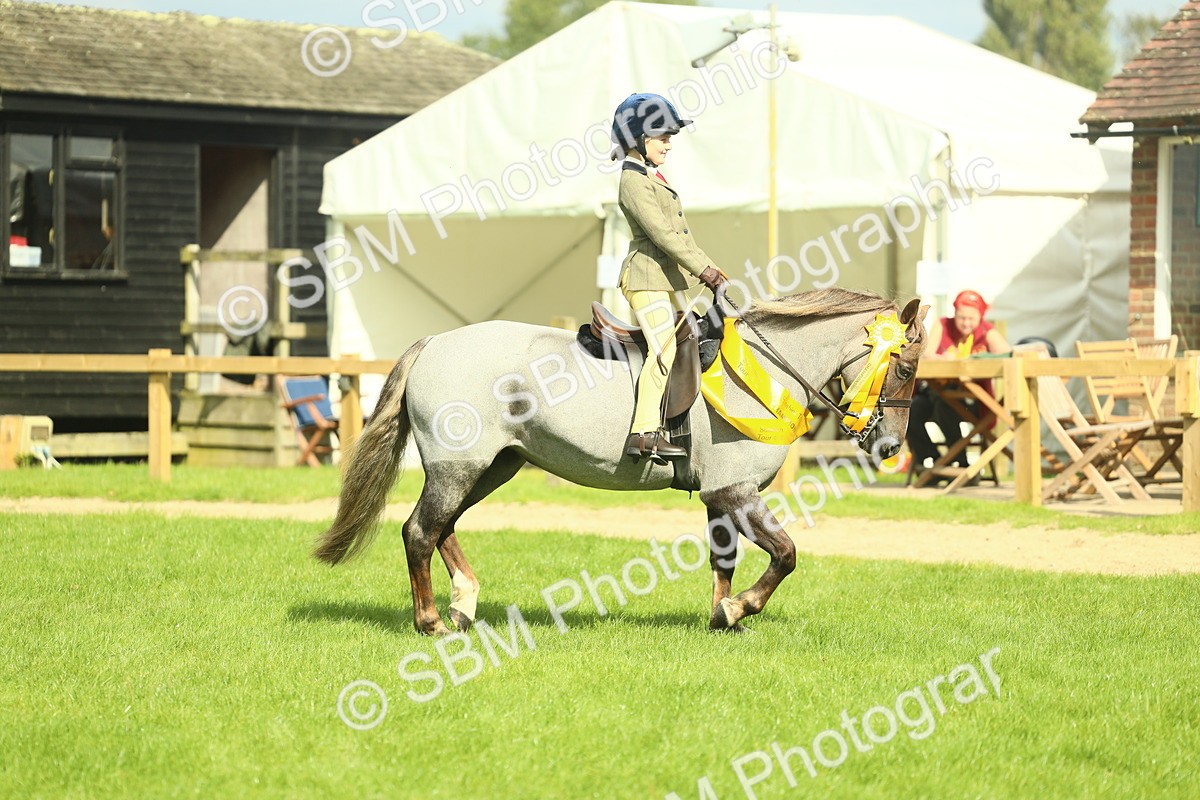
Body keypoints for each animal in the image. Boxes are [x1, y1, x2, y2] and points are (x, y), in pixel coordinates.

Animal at [313, 288, 928, 635]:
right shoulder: (735, 492)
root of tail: (437, 342)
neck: (761, 367)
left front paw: (720, 617)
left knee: (443, 527)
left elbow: (723, 561)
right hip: (458, 467)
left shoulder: (721, 498)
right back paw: (432, 622)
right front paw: (739, 610)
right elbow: (785, 555)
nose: (890, 448)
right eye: (903, 368)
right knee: (421, 530)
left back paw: (464, 604)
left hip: (491, 466)